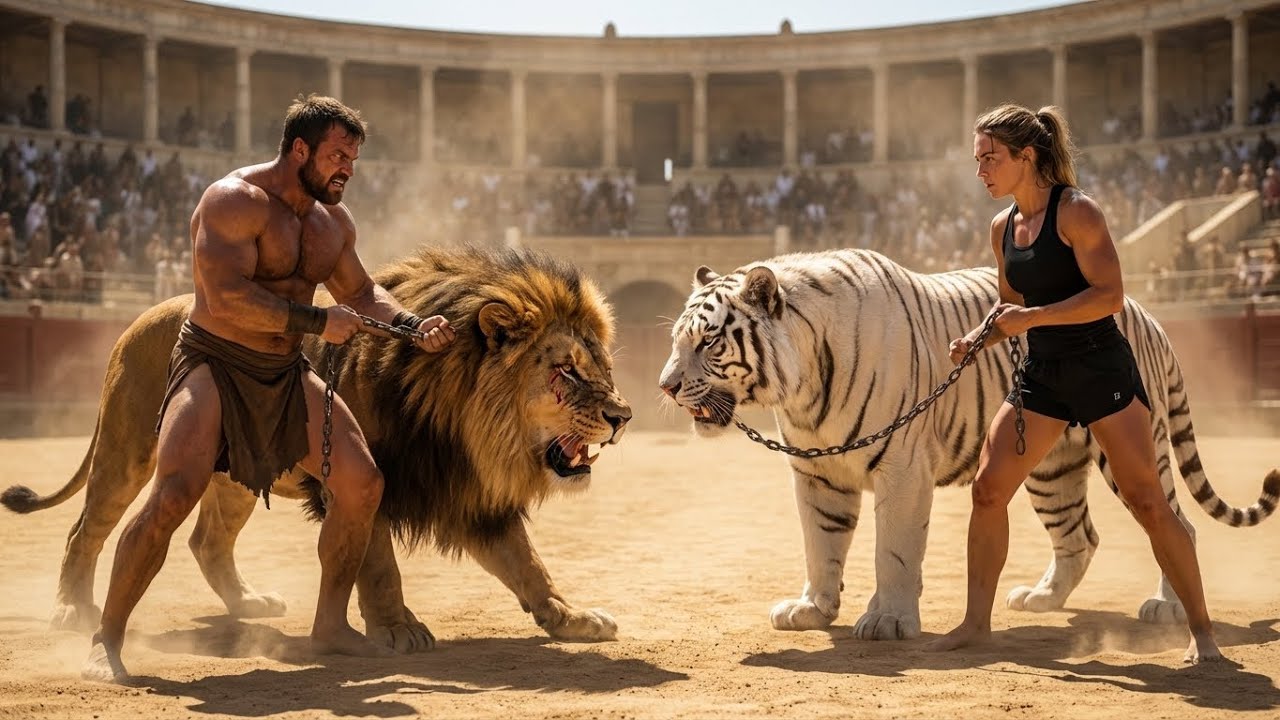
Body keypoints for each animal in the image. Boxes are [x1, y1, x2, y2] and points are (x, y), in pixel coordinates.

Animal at [2, 245, 632, 651]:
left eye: (603, 367)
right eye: (566, 370)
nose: (622, 417)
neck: (460, 424)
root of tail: (138, 317)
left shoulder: (470, 496)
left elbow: (529, 565)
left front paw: (571, 618)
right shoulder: (369, 481)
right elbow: (378, 566)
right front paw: (397, 628)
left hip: (236, 474)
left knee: (208, 541)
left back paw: (248, 605)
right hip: (127, 451)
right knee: (85, 530)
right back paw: (70, 610)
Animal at [658, 248, 1280, 641]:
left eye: (709, 341)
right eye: (676, 341)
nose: (664, 386)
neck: (803, 384)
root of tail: (1149, 314)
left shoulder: (901, 466)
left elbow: (893, 552)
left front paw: (887, 622)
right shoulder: (818, 473)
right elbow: (821, 543)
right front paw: (812, 609)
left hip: (1132, 449)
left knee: (1177, 524)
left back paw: (1167, 607)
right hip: (1050, 468)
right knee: (1079, 535)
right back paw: (1042, 599)